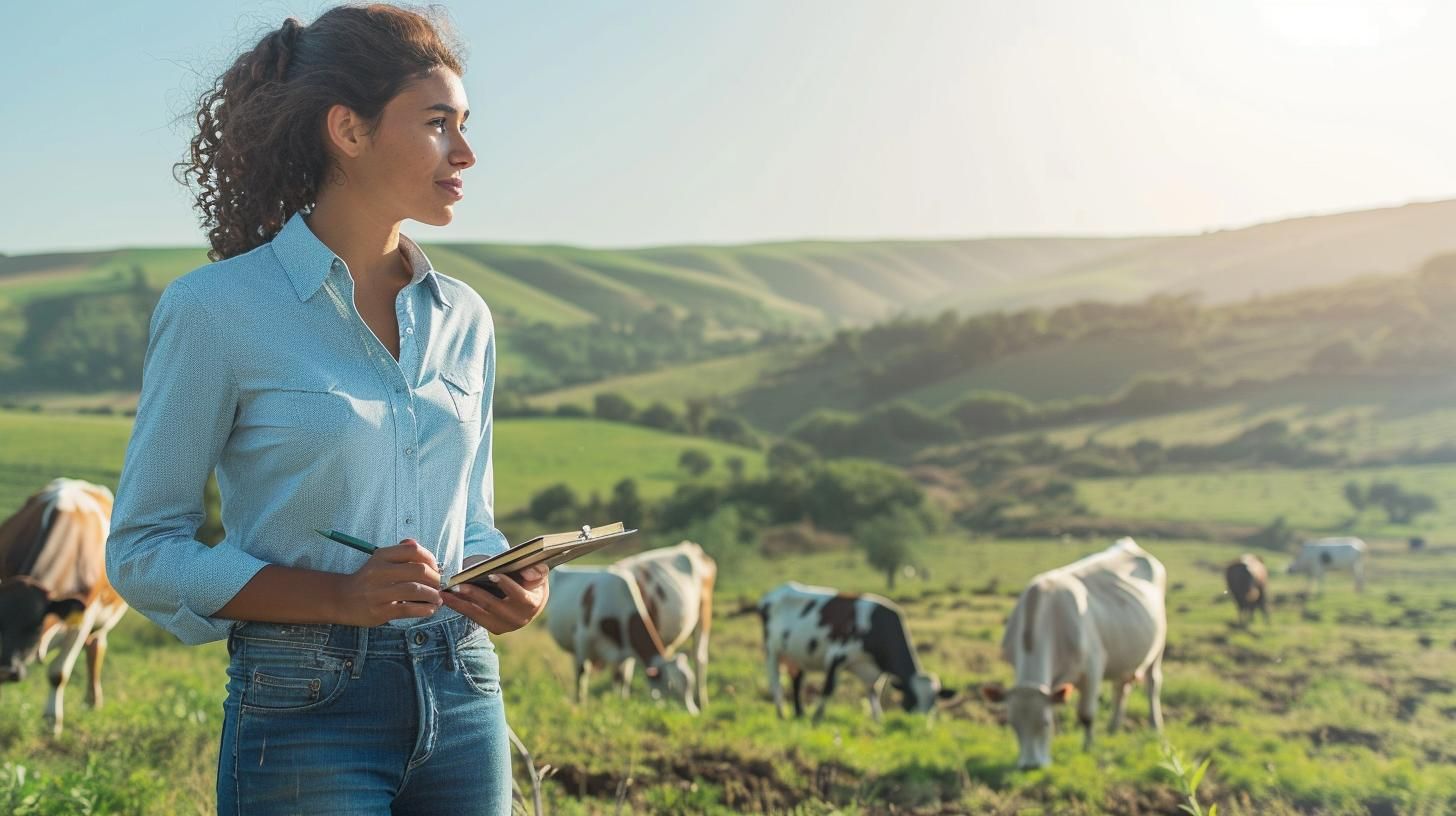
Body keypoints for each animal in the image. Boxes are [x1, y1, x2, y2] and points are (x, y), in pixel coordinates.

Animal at [0, 475, 128, 737]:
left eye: (34, 627)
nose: (7, 671)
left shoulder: (83, 619)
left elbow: (58, 674)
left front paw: (52, 722)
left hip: (102, 622)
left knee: (96, 647)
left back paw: (92, 702)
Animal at [547, 559, 701, 714]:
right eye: (671, 685)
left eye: (690, 685)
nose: (693, 713)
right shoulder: (582, 638)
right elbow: (583, 672)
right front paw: (581, 704)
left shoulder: (625, 650)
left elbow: (623, 678)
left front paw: (620, 701)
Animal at [608, 544, 716, 711]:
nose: (691, 711)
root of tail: (688, 546)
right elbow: (622, 674)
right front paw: (621, 700)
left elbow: (623, 673)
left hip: (704, 613)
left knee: (700, 657)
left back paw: (702, 702)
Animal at [978, 539, 1170, 769]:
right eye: (1012, 724)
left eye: (1044, 723)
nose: (1030, 766)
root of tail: (1129, 543)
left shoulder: (1093, 668)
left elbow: (1086, 715)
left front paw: (1088, 748)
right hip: (1126, 655)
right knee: (1121, 687)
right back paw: (1113, 728)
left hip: (1157, 647)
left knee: (1153, 684)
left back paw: (1155, 726)